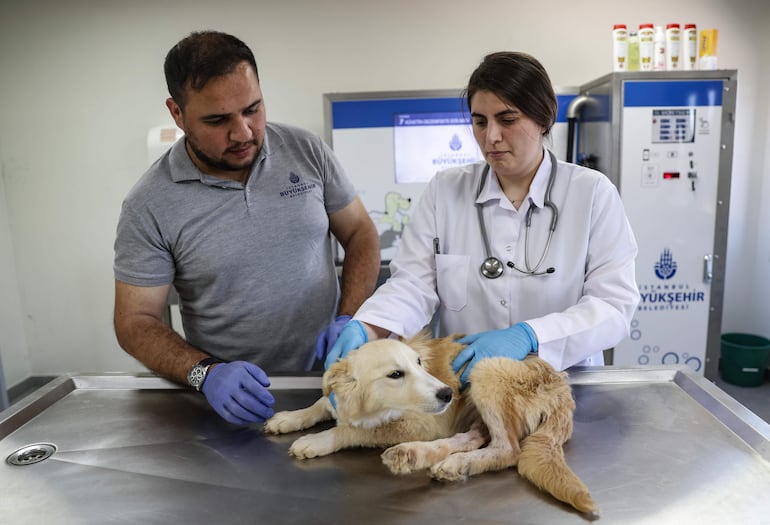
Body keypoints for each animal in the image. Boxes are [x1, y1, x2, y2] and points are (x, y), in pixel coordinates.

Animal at [266, 332, 600, 516]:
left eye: (419, 363)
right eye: (395, 374)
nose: (448, 393)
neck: (369, 405)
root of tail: (561, 387)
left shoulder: (424, 424)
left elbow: (350, 429)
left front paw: (317, 440)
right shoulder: (340, 401)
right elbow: (321, 403)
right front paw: (289, 417)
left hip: (485, 367)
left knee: (508, 449)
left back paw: (448, 460)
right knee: (473, 437)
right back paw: (425, 458)